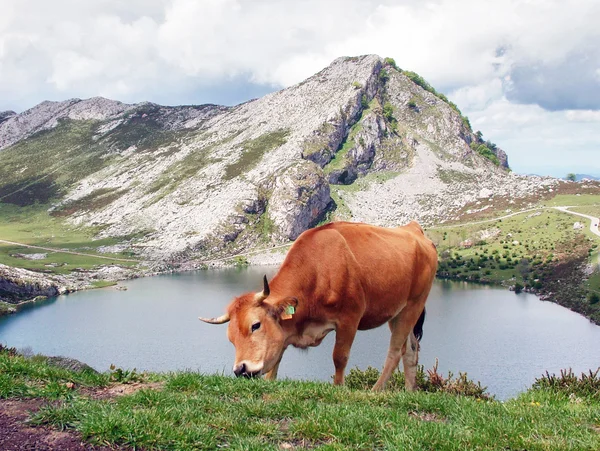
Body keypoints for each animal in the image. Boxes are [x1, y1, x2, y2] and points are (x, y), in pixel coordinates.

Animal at [199, 221, 438, 390]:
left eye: (255, 325)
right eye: (230, 338)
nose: (241, 369)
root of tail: (413, 229)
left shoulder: (349, 319)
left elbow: (339, 357)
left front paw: (339, 388)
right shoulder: (284, 333)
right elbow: (273, 366)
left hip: (414, 305)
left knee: (396, 351)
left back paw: (375, 391)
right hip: (396, 312)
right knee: (411, 350)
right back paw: (409, 392)